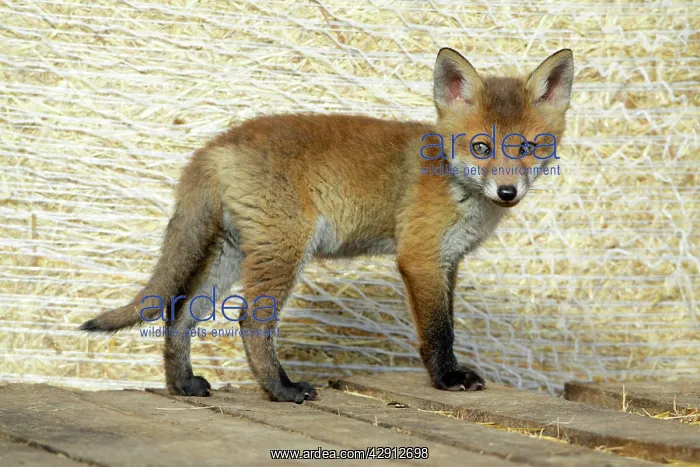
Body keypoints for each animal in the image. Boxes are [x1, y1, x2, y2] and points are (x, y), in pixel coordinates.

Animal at [80, 48, 574, 403]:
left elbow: (447, 322)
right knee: (250, 320)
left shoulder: (447, 261)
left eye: (528, 147)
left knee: (181, 313)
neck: (456, 184)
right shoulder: (419, 257)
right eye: (481, 146)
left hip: (232, 253)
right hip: (284, 250)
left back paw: (183, 385)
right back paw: (281, 390)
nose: (507, 192)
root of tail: (219, 142)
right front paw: (447, 379)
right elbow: (438, 331)